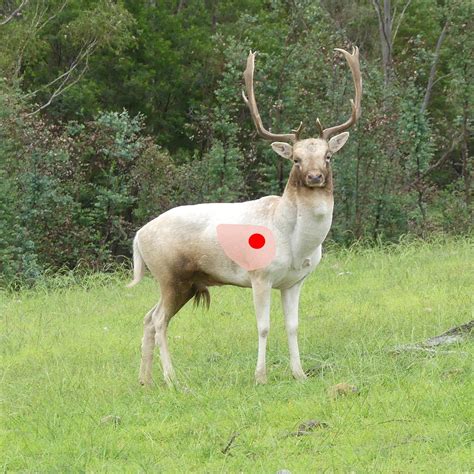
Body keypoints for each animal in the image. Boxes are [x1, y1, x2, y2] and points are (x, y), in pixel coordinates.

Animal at [128, 45, 362, 386]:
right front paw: (260, 376)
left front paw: (300, 373)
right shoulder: (259, 274)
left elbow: (293, 326)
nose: (315, 177)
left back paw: (145, 381)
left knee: (147, 317)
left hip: (182, 282)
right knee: (159, 320)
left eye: (328, 156)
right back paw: (173, 380)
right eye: (295, 159)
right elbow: (263, 327)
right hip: (171, 275)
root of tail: (137, 236)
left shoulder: (295, 281)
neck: (297, 244)